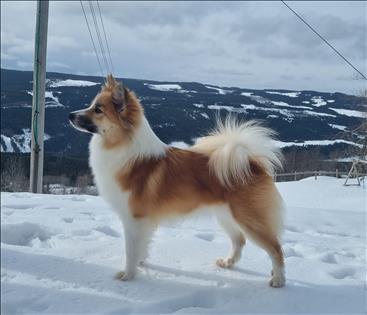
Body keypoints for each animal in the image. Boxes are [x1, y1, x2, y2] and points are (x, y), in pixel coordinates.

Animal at [69, 75, 288, 288]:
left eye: (98, 110)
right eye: (92, 105)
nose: (70, 115)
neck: (125, 149)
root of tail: (251, 163)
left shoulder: (133, 218)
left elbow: (130, 250)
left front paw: (128, 275)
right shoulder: (144, 222)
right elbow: (142, 246)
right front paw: (140, 263)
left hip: (250, 220)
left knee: (276, 248)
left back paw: (278, 279)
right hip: (226, 216)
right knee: (239, 240)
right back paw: (228, 263)